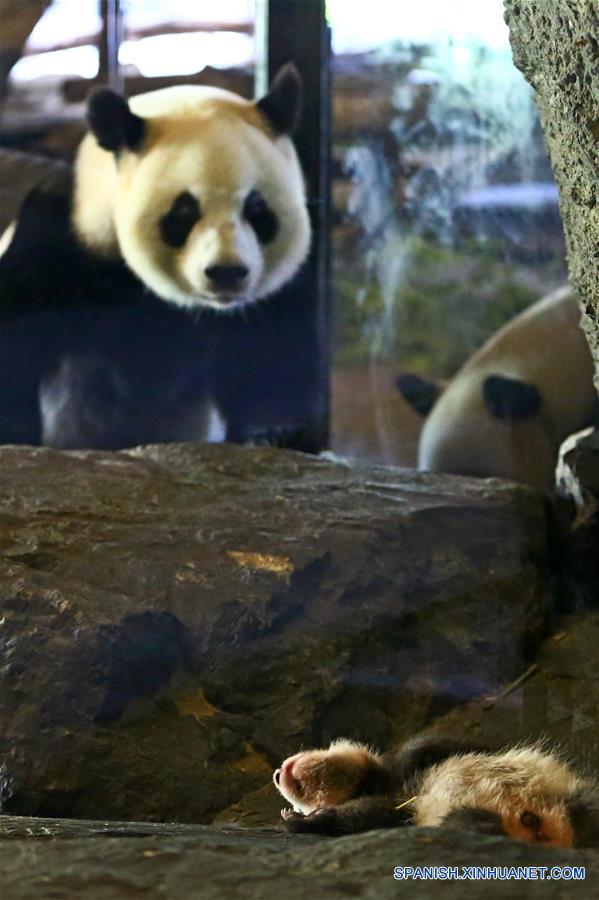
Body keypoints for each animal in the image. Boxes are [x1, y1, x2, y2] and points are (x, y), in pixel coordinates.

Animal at [0, 65, 318, 450]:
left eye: (257, 210)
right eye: (184, 212)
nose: (226, 272)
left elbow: (274, 351)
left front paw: (275, 434)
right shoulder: (58, 241)